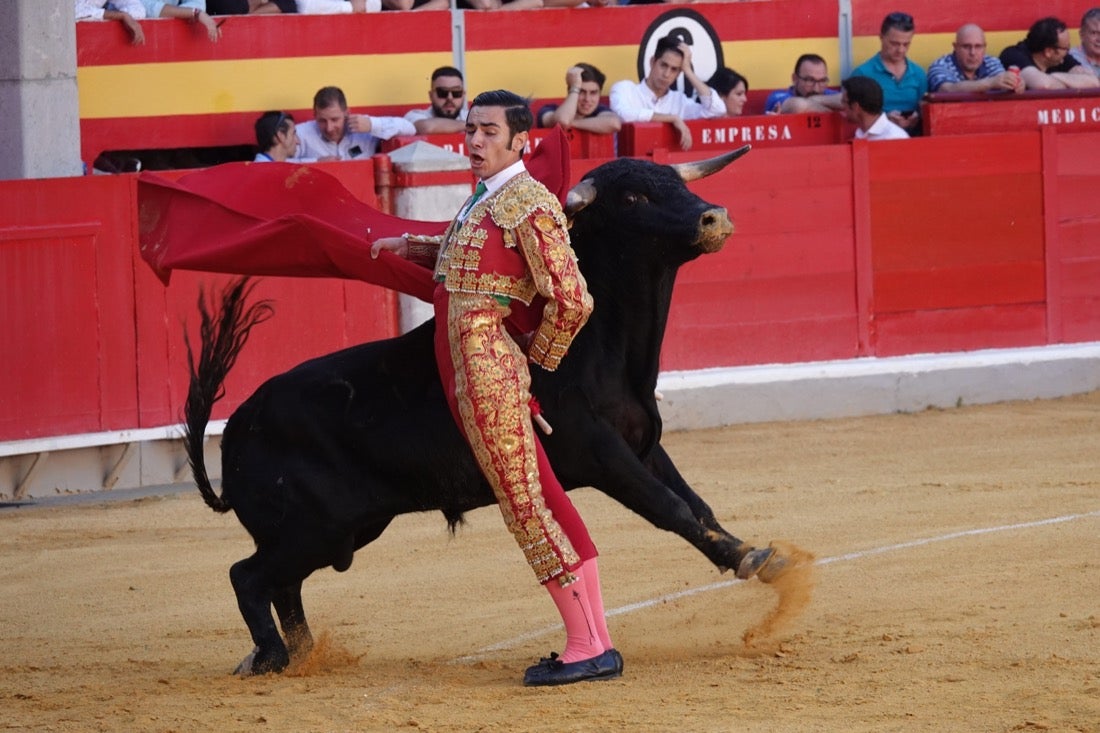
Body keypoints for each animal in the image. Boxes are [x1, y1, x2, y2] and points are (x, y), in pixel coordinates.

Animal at [187, 148, 792, 673]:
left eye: (678, 183)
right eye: (634, 197)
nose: (715, 217)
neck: (603, 347)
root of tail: (236, 428)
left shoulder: (643, 445)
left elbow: (698, 506)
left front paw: (759, 556)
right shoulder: (600, 454)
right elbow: (670, 507)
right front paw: (751, 559)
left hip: (342, 531)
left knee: (282, 585)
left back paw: (299, 655)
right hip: (317, 529)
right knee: (248, 576)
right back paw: (271, 658)